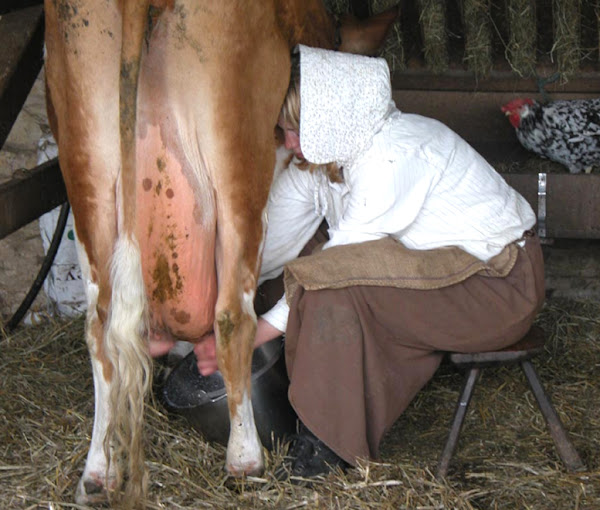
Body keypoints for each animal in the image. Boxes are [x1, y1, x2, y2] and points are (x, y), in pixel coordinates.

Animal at [43, 0, 398, 506]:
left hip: (85, 159)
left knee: (99, 328)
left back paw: (98, 471)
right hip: (237, 156)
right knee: (231, 316)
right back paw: (245, 457)